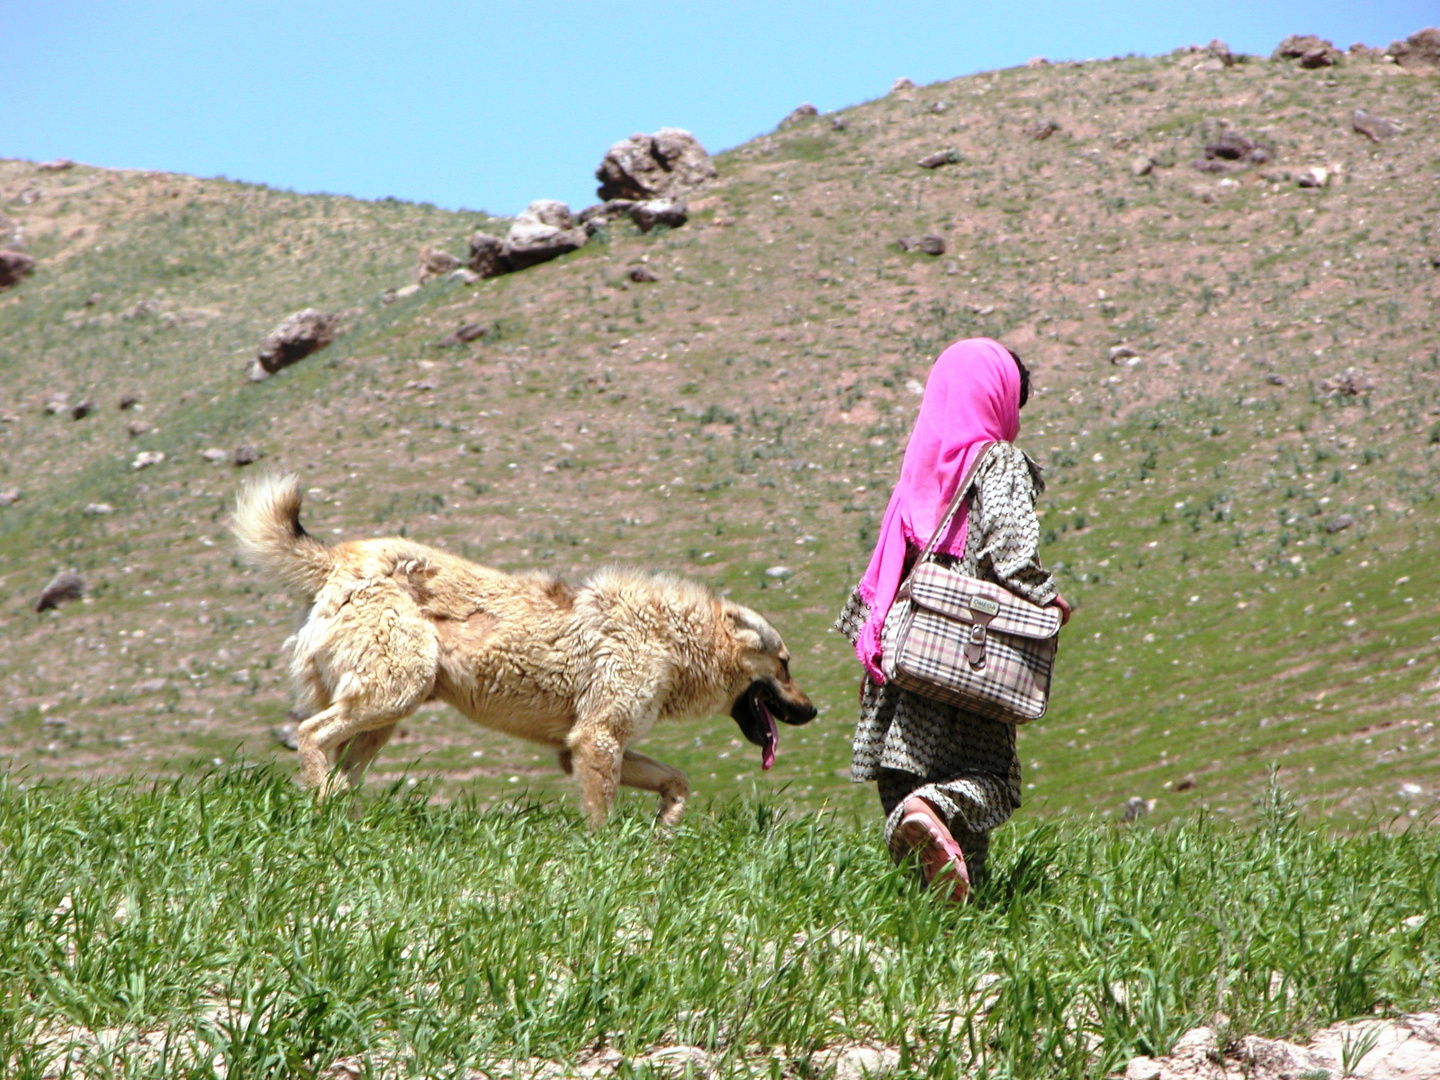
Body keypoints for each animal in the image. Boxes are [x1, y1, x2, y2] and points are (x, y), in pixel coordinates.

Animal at [241, 478, 817, 823]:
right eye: (786, 665)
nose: (814, 712)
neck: (671, 640)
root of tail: (342, 558)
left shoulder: (583, 746)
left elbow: (679, 780)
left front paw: (664, 830)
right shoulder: (597, 741)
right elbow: (603, 822)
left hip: (384, 715)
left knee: (340, 770)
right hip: (392, 695)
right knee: (310, 737)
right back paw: (320, 811)